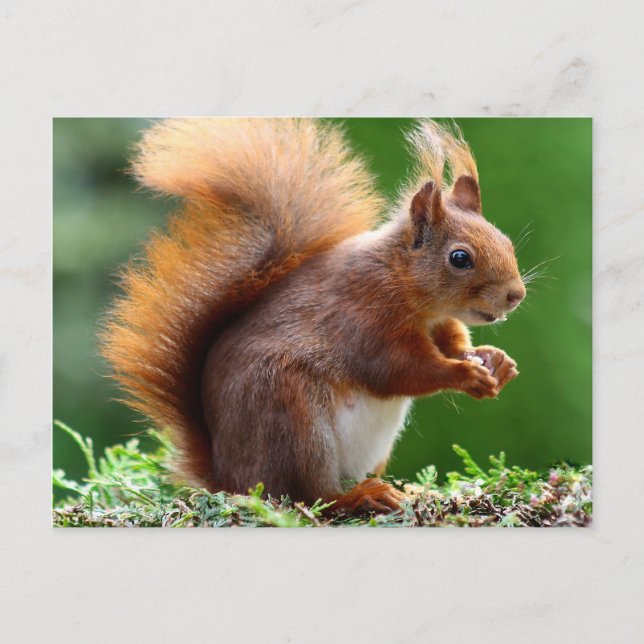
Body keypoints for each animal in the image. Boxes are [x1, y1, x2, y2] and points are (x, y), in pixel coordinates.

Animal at [101, 118, 526, 515]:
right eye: (460, 258)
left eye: (505, 241)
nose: (516, 295)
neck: (405, 285)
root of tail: (228, 477)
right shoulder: (365, 318)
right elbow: (399, 370)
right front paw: (465, 374)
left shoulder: (439, 322)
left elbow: (453, 342)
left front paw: (495, 361)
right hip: (294, 420)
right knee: (309, 495)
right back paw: (359, 497)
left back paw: (405, 491)